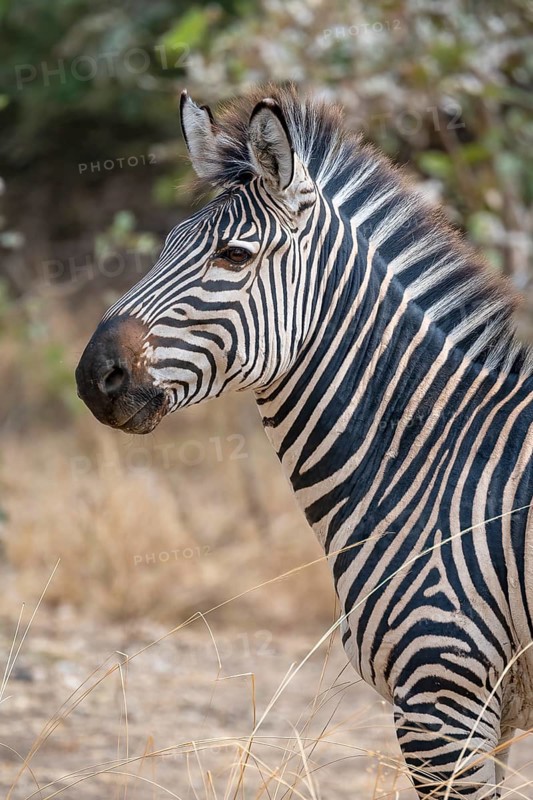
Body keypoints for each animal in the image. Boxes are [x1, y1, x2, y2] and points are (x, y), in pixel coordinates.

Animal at [76, 85, 533, 798]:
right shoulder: (490, 711)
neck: (437, 460)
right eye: (164, 246)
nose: (94, 377)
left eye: (234, 256)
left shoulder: (442, 703)